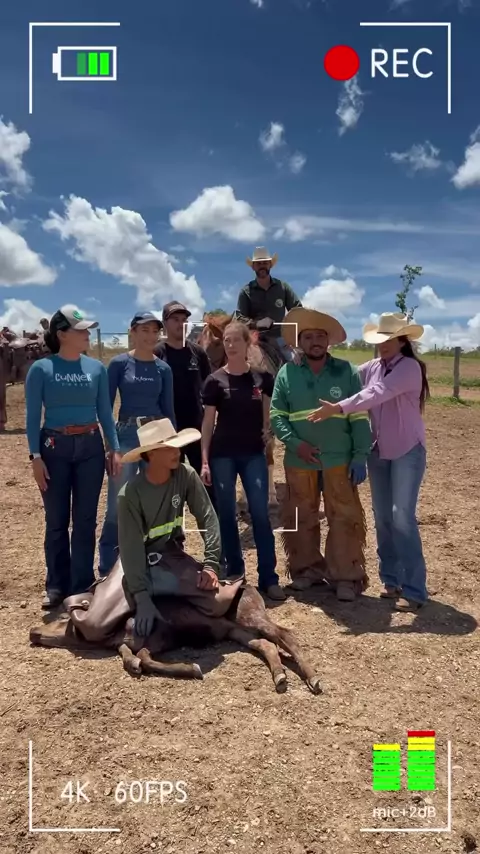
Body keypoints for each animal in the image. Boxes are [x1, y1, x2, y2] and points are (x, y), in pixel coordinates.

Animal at [29, 559, 323, 695]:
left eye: (65, 620)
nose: (33, 631)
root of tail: (251, 587)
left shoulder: (158, 637)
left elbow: (143, 658)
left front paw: (192, 669)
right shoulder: (150, 642)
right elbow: (133, 656)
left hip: (249, 617)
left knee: (285, 634)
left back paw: (313, 678)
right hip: (239, 632)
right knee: (266, 645)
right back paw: (280, 676)